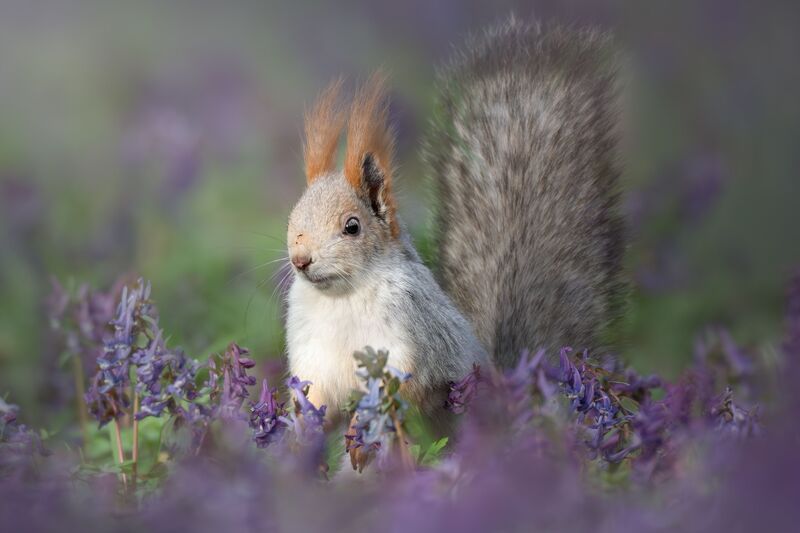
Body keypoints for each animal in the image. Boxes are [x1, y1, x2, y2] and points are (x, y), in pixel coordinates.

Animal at [285, 20, 624, 433]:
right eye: (293, 218)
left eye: (352, 226)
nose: (301, 259)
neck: (340, 299)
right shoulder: (311, 358)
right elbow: (314, 398)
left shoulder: (414, 338)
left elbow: (407, 385)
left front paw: (364, 420)